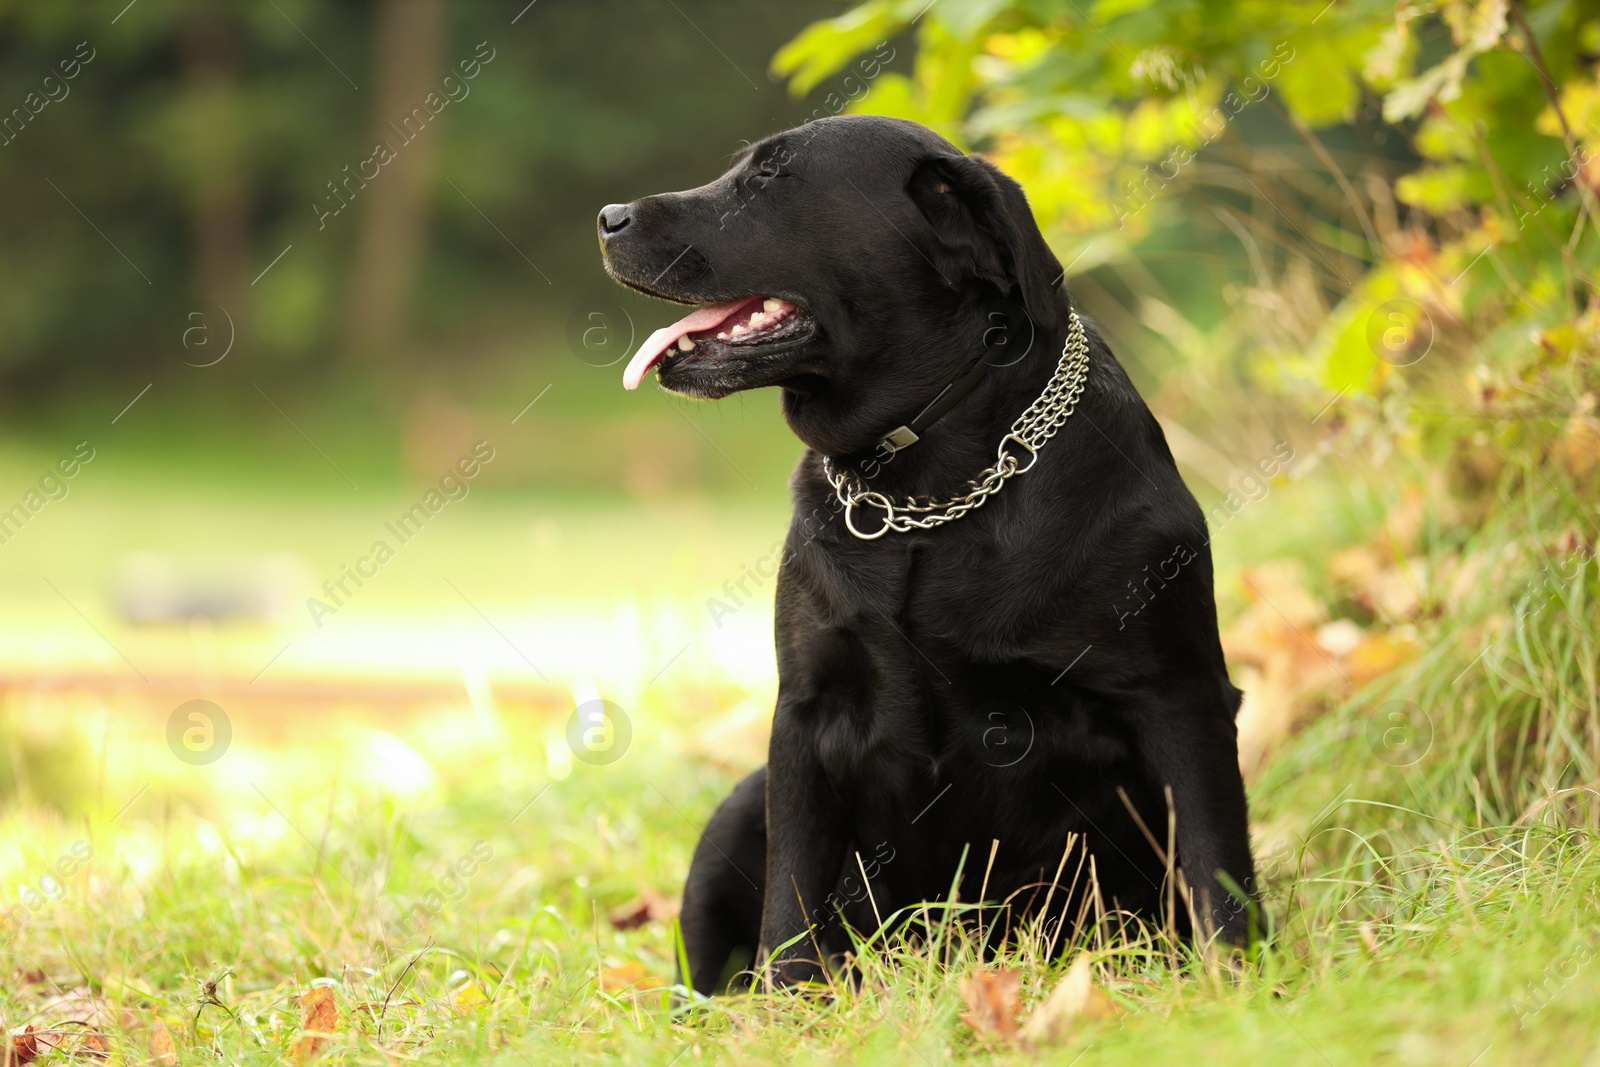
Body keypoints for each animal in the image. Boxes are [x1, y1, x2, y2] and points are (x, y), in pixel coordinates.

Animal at [595, 115, 1254, 991]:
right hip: (736, 809)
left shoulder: (1178, 696)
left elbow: (1216, 861)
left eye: (770, 177)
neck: (924, 491)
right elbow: (792, 893)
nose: (608, 216)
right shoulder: (805, 714)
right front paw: (789, 1000)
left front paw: (1240, 979)